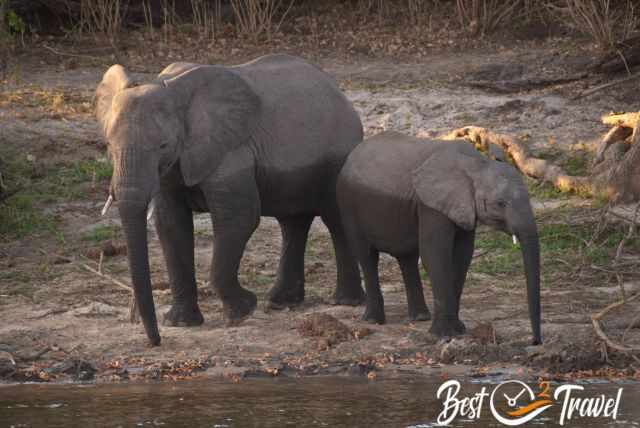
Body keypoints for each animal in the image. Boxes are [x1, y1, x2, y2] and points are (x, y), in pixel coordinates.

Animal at [95, 55, 364, 346]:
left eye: (163, 146)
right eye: (108, 145)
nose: (155, 341)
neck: (170, 87)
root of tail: (341, 93)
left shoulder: (232, 151)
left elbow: (239, 217)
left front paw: (243, 311)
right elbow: (171, 224)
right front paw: (181, 323)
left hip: (340, 155)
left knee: (334, 220)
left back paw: (346, 302)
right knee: (292, 222)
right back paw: (281, 303)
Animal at [338, 130, 544, 344]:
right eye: (500, 203)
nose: (535, 341)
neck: (476, 165)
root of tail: (353, 153)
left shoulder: (462, 207)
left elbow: (462, 256)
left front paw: (458, 330)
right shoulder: (431, 205)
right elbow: (435, 255)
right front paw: (443, 335)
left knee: (407, 258)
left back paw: (420, 317)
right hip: (347, 203)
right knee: (366, 256)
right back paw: (373, 321)